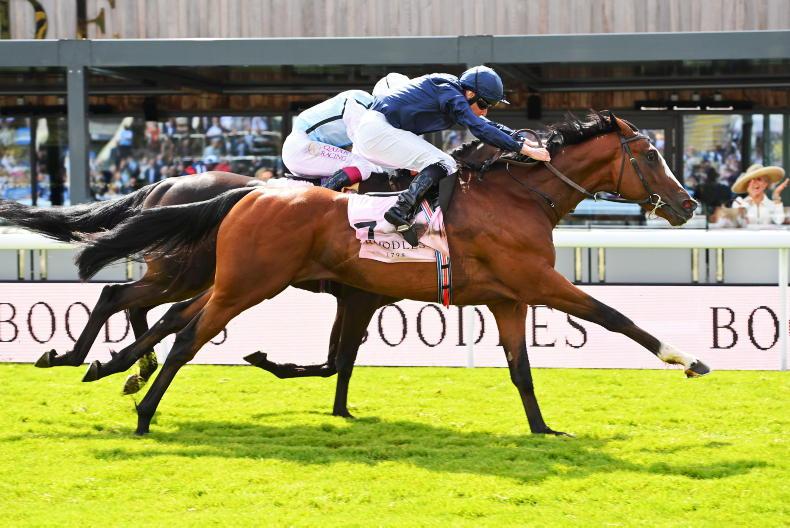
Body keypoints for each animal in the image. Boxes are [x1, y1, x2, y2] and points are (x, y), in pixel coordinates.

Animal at [74, 112, 710, 436]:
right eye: (650, 154)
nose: (688, 204)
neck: (518, 197)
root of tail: (251, 192)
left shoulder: (506, 298)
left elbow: (520, 370)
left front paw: (543, 429)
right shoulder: (537, 283)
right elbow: (615, 316)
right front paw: (687, 359)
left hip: (230, 281)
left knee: (160, 316)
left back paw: (116, 373)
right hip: (244, 283)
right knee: (179, 331)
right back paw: (140, 407)